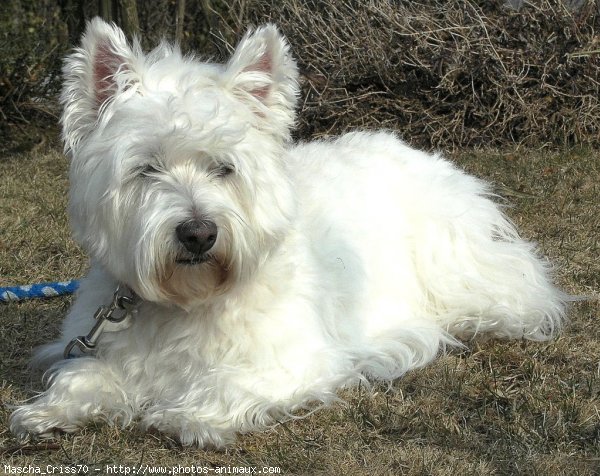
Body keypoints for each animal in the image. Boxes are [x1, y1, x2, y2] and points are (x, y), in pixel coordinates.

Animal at [11, 18, 568, 448]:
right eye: (146, 168)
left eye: (225, 168)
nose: (198, 234)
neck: (187, 301)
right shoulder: (98, 343)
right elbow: (83, 374)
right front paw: (48, 412)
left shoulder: (298, 359)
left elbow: (228, 384)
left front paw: (187, 415)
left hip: (457, 262)